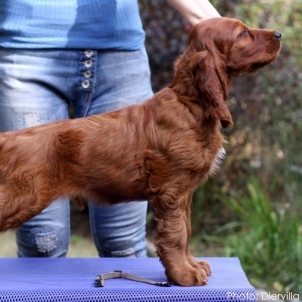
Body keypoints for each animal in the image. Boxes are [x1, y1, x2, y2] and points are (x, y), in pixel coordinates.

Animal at [0, 17, 280, 286]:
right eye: (242, 33)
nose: (278, 34)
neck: (189, 104)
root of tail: (7, 139)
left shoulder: (184, 193)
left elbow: (187, 229)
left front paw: (192, 265)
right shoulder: (172, 191)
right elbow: (177, 234)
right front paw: (183, 275)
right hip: (22, 197)